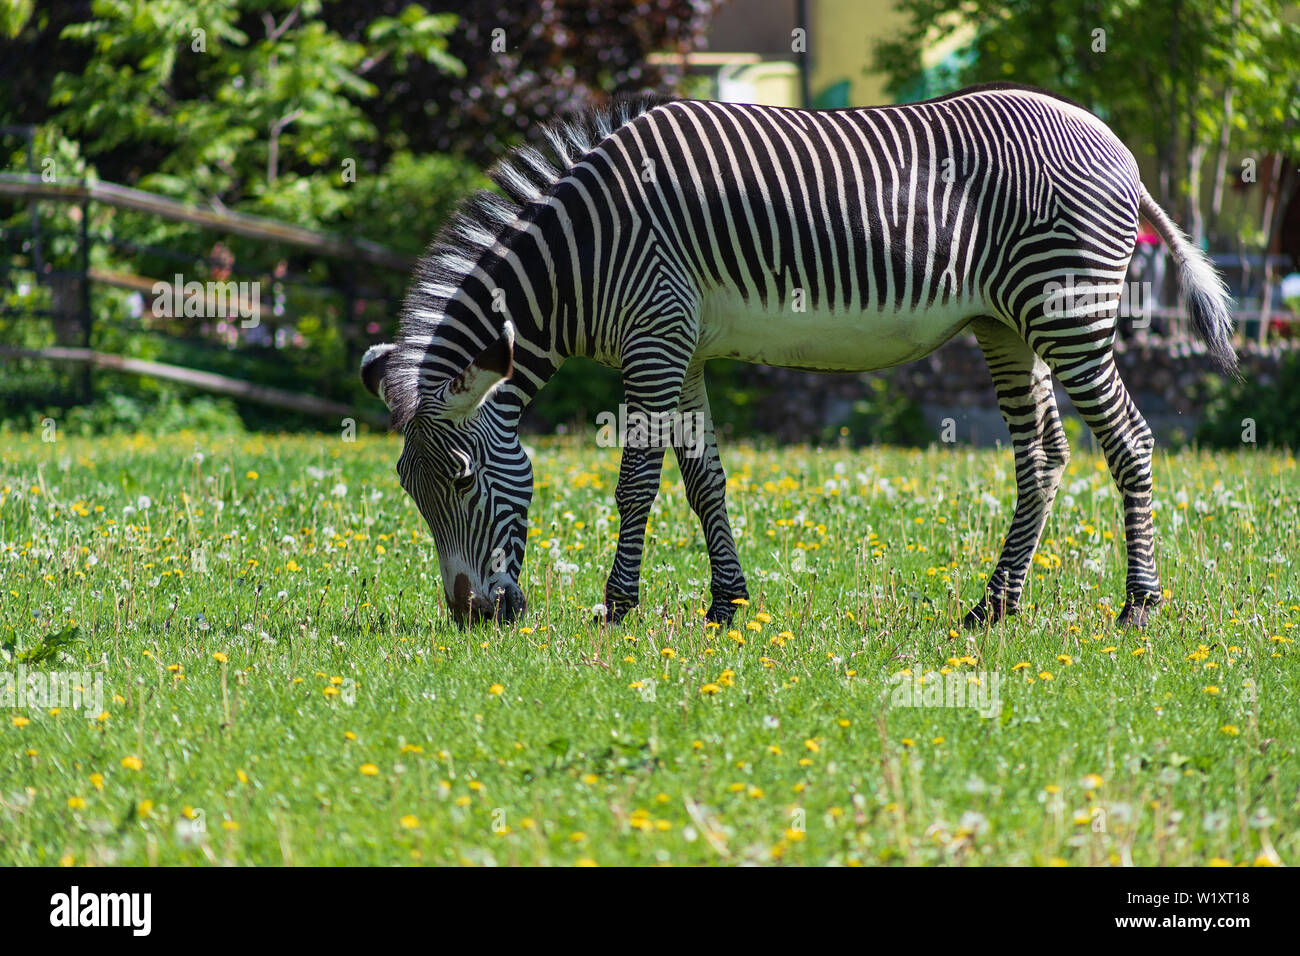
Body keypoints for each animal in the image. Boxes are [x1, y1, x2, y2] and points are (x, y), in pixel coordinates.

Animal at [361, 84, 1236, 629]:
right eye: (408, 489)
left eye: (463, 481)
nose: (471, 616)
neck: (586, 251)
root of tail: (1114, 142)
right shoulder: (684, 348)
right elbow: (702, 481)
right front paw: (726, 605)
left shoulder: (654, 338)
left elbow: (637, 482)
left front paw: (617, 607)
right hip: (1009, 325)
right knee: (1045, 456)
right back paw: (995, 606)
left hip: (1068, 312)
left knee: (1130, 444)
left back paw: (1137, 605)